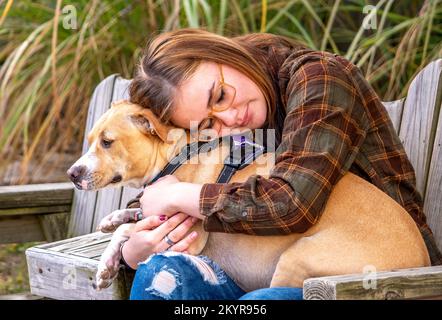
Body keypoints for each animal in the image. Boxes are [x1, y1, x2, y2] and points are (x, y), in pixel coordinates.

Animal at [67, 100, 430, 292]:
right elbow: (129, 219)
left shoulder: (186, 234)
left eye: (108, 142)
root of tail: (423, 263)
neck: (178, 154)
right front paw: (112, 220)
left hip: (297, 261)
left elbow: (129, 230)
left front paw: (107, 262)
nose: (72, 173)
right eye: (91, 139)